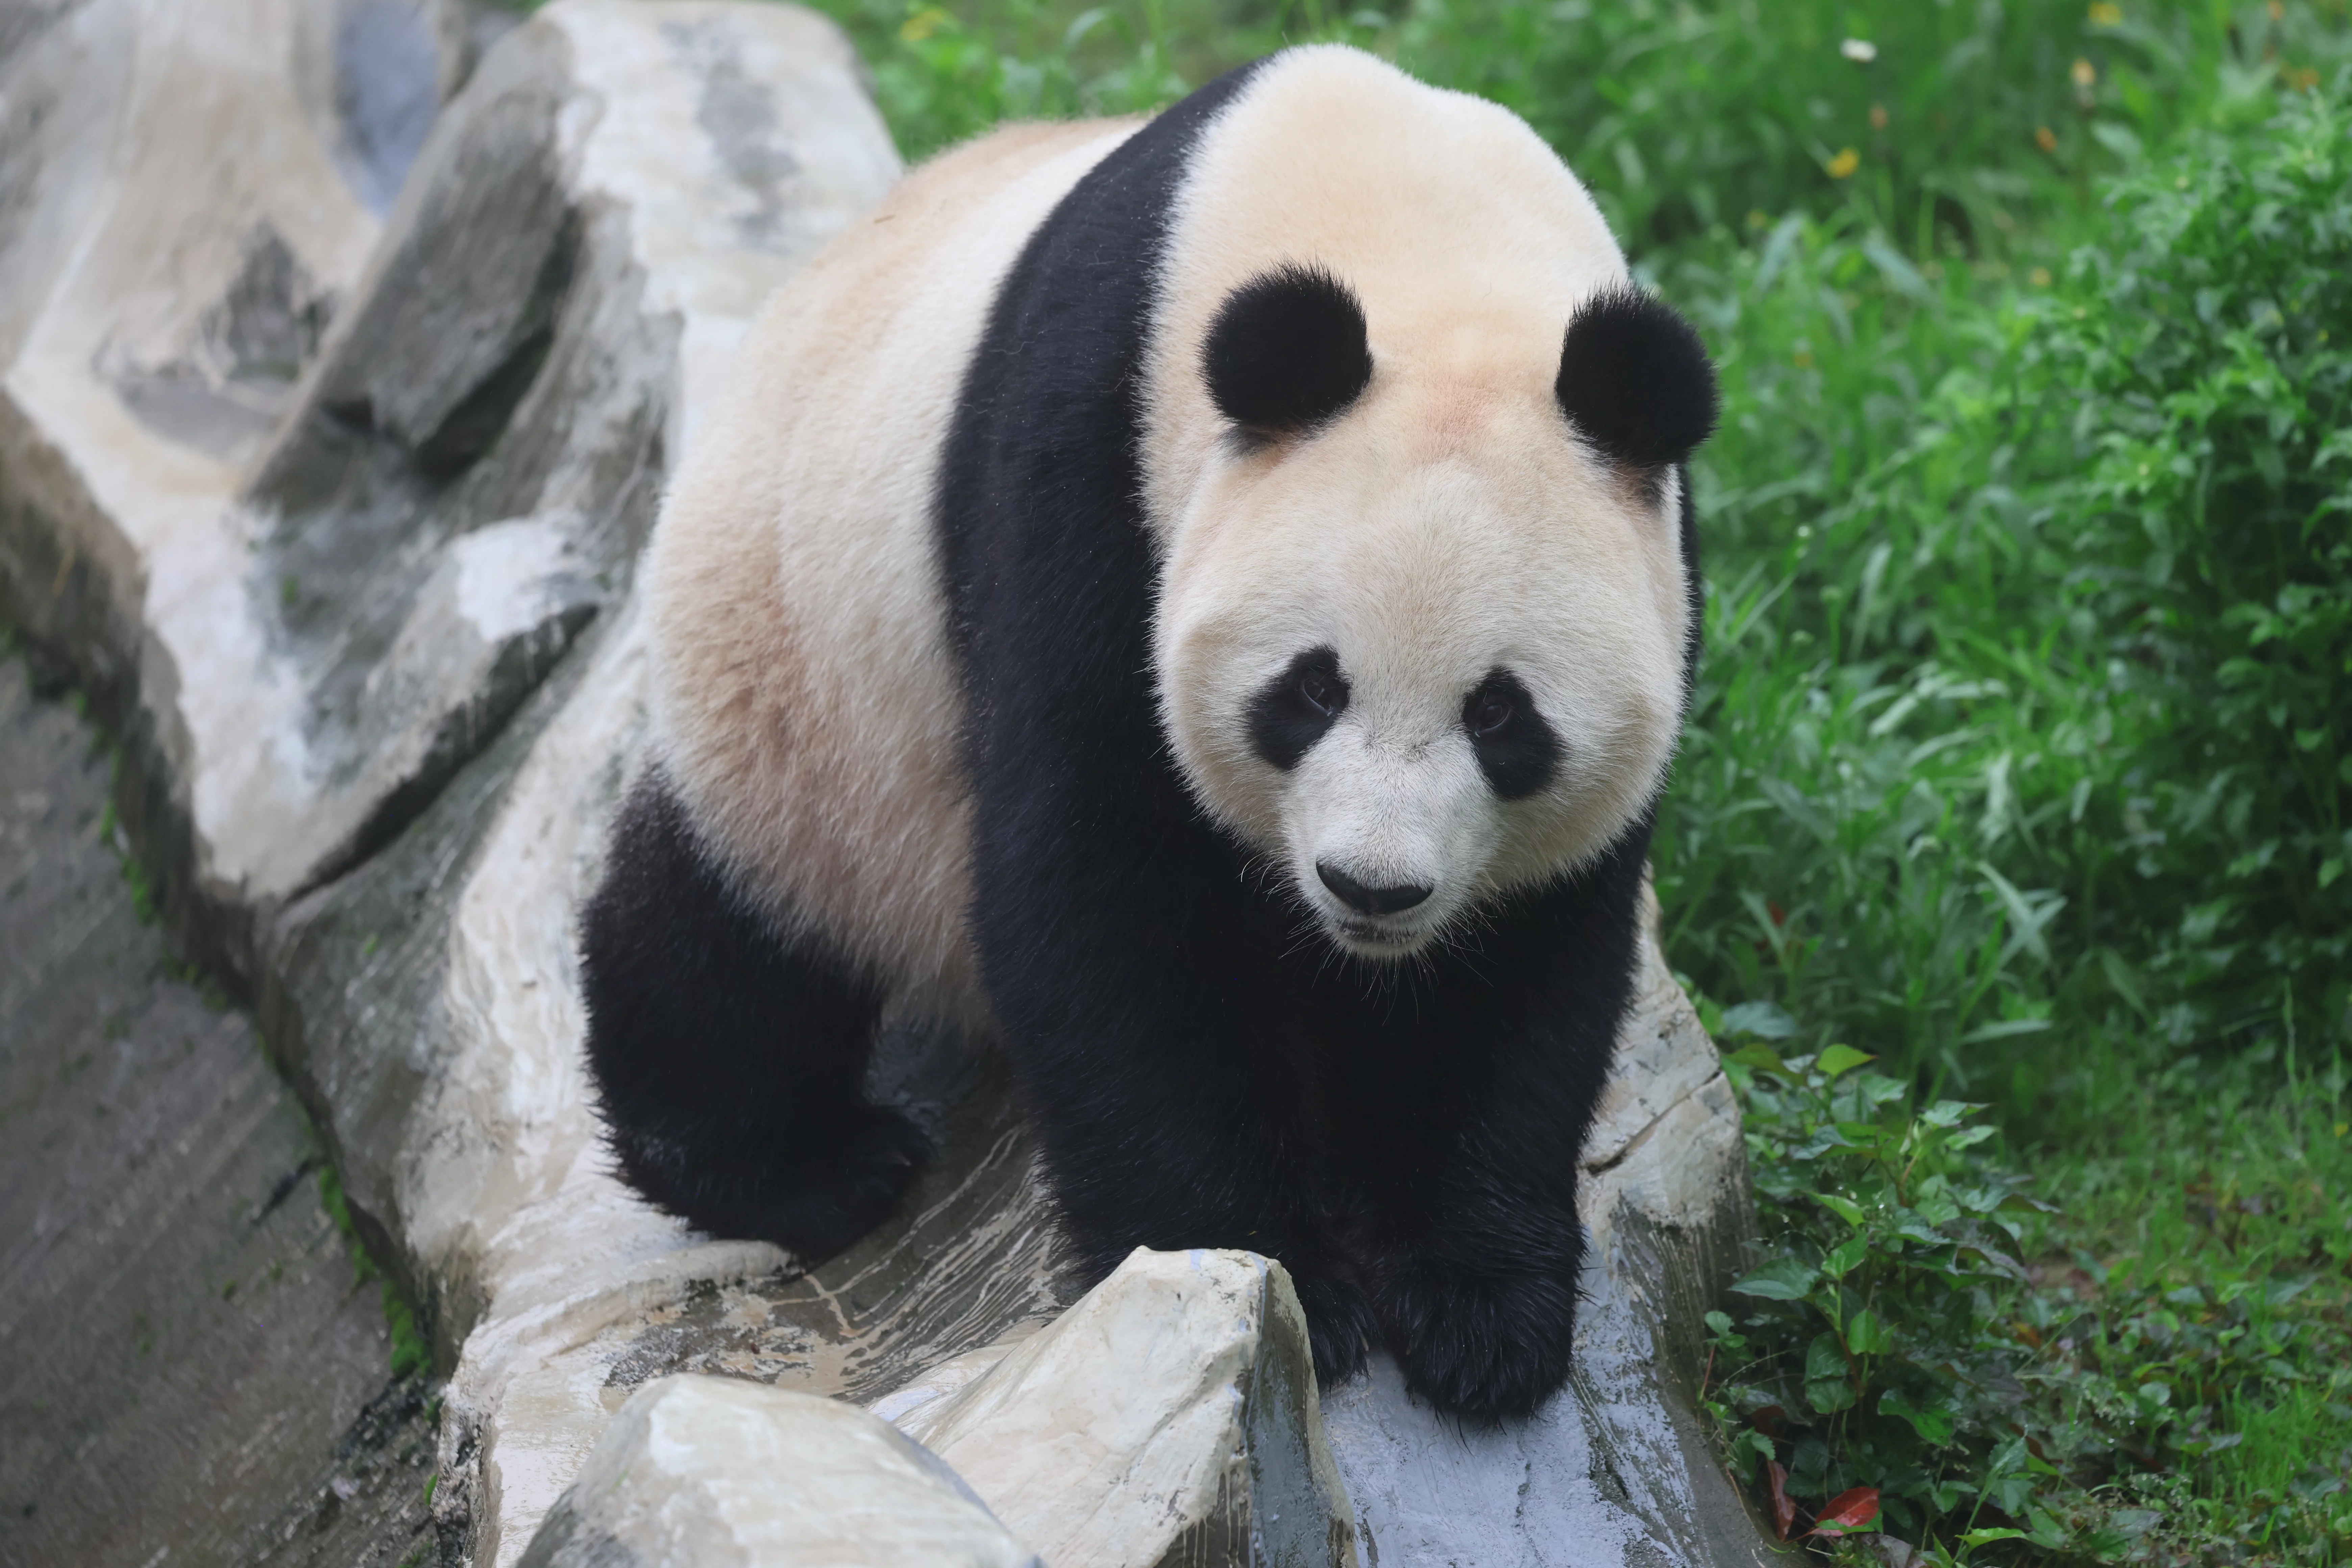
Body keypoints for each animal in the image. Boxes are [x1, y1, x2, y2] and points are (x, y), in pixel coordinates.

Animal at [580, 43, 1715, 1422]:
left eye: (1499, 713)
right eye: (1310, 689)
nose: (1371, 887)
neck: (1415, 240)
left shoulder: (1659, 573)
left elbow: (1529, 954)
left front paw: (1477, 1307)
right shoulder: (1089, 469)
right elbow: (1101, 878)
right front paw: (1272, 1274)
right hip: (791, 682)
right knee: (727, 930)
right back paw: (807, 1161)